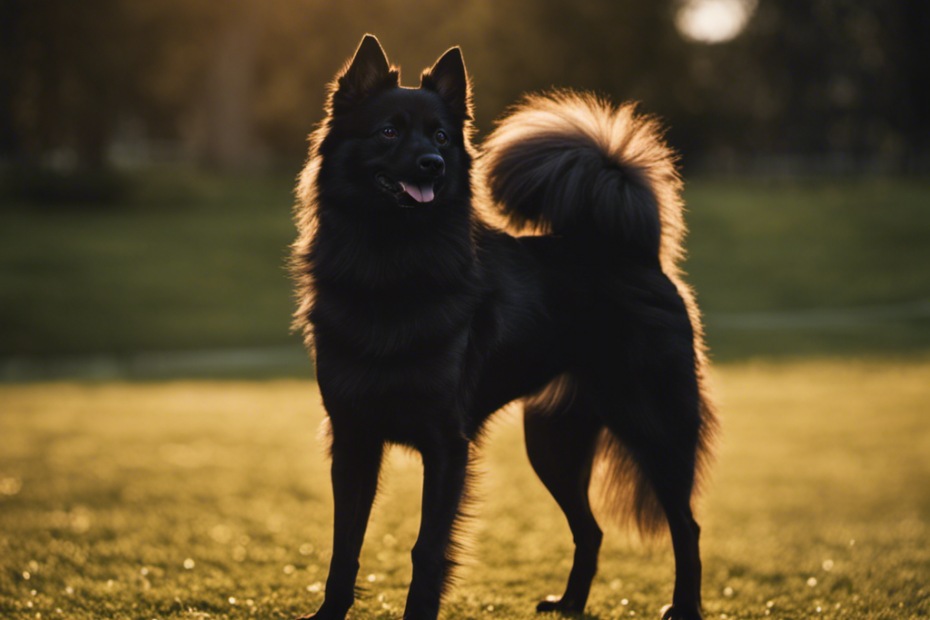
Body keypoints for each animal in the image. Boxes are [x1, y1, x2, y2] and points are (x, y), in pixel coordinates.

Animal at [294, 36, 716, 620]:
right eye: (388, 131)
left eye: (442, 136)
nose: (432, 164)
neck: (390, 261)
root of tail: (637, 252)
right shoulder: (353, 437)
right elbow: (345, 543)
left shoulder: (446, 445)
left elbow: (427, 549)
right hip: (552, 444)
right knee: (591, 530)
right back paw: (570, 603)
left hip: (654, 428)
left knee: (688, 526)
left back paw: (684, 607)